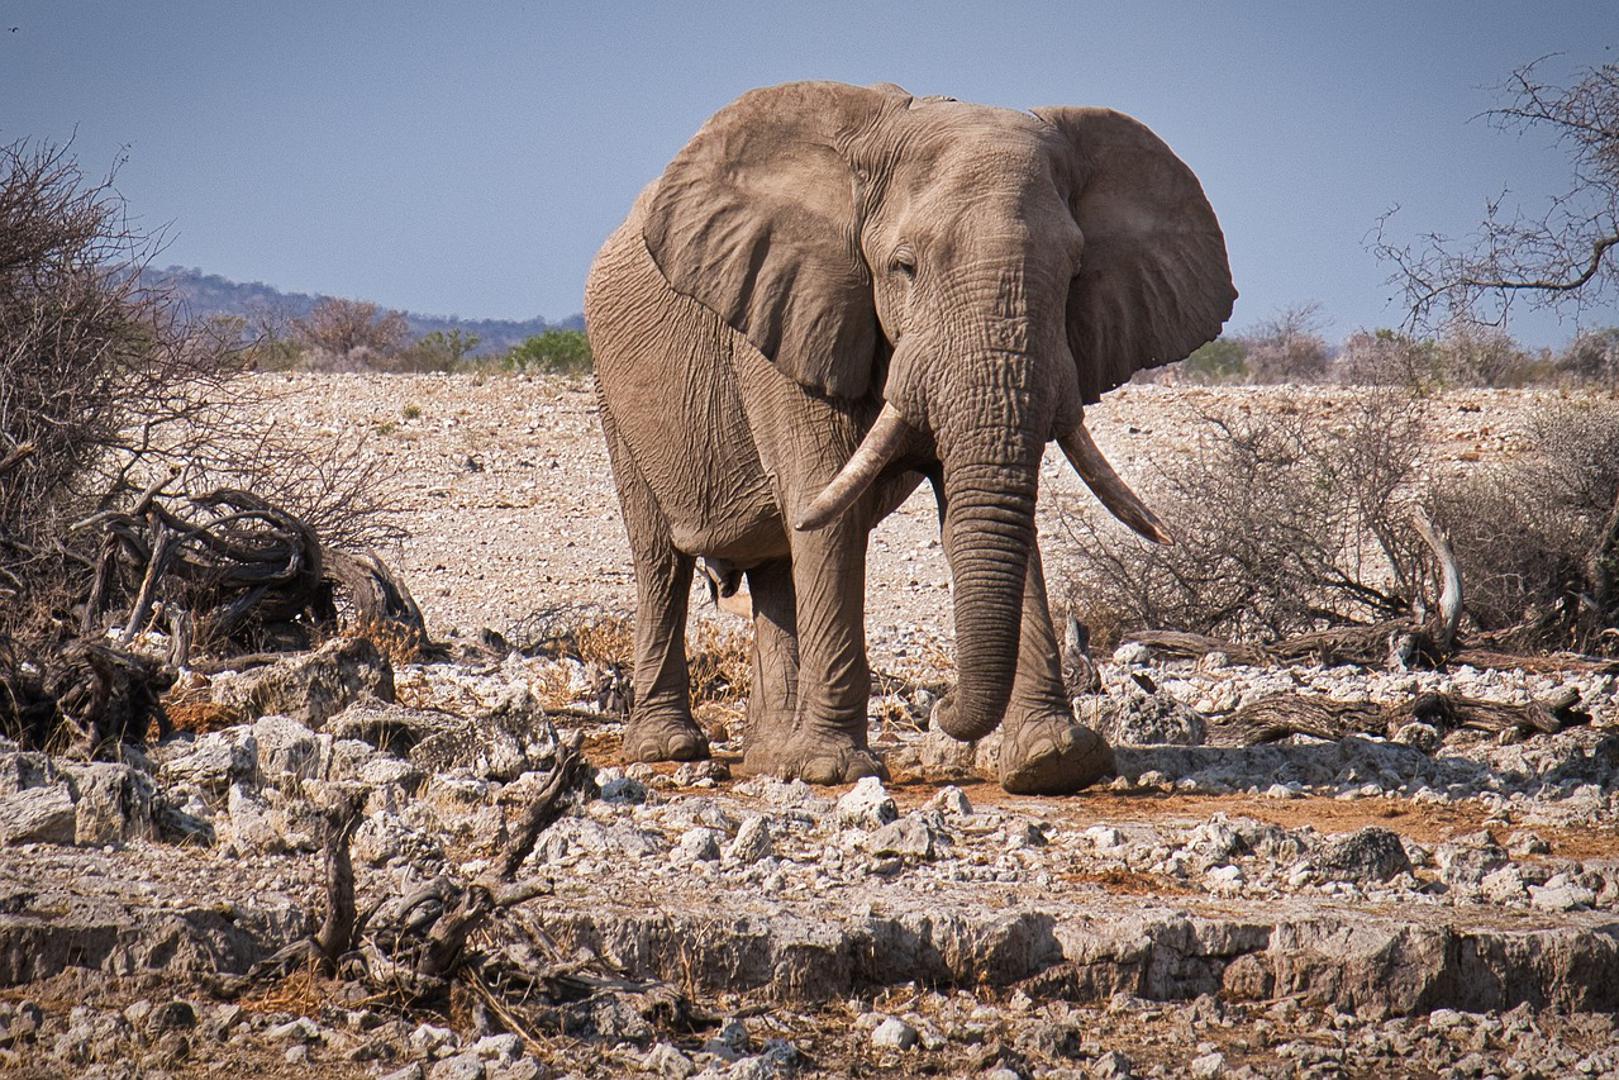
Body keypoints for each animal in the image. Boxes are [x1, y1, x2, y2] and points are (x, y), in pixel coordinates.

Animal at [589, 82, 1230, 793]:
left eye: (1073, 275)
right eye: (904, 268)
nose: (943, 709)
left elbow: (982, 512)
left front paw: (1056, 761)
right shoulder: (791, 319)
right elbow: (826, 510)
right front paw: (833, 770)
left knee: (777, 566)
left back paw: (768, 758)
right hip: (615, 394)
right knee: (661, 560)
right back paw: (670, 749)